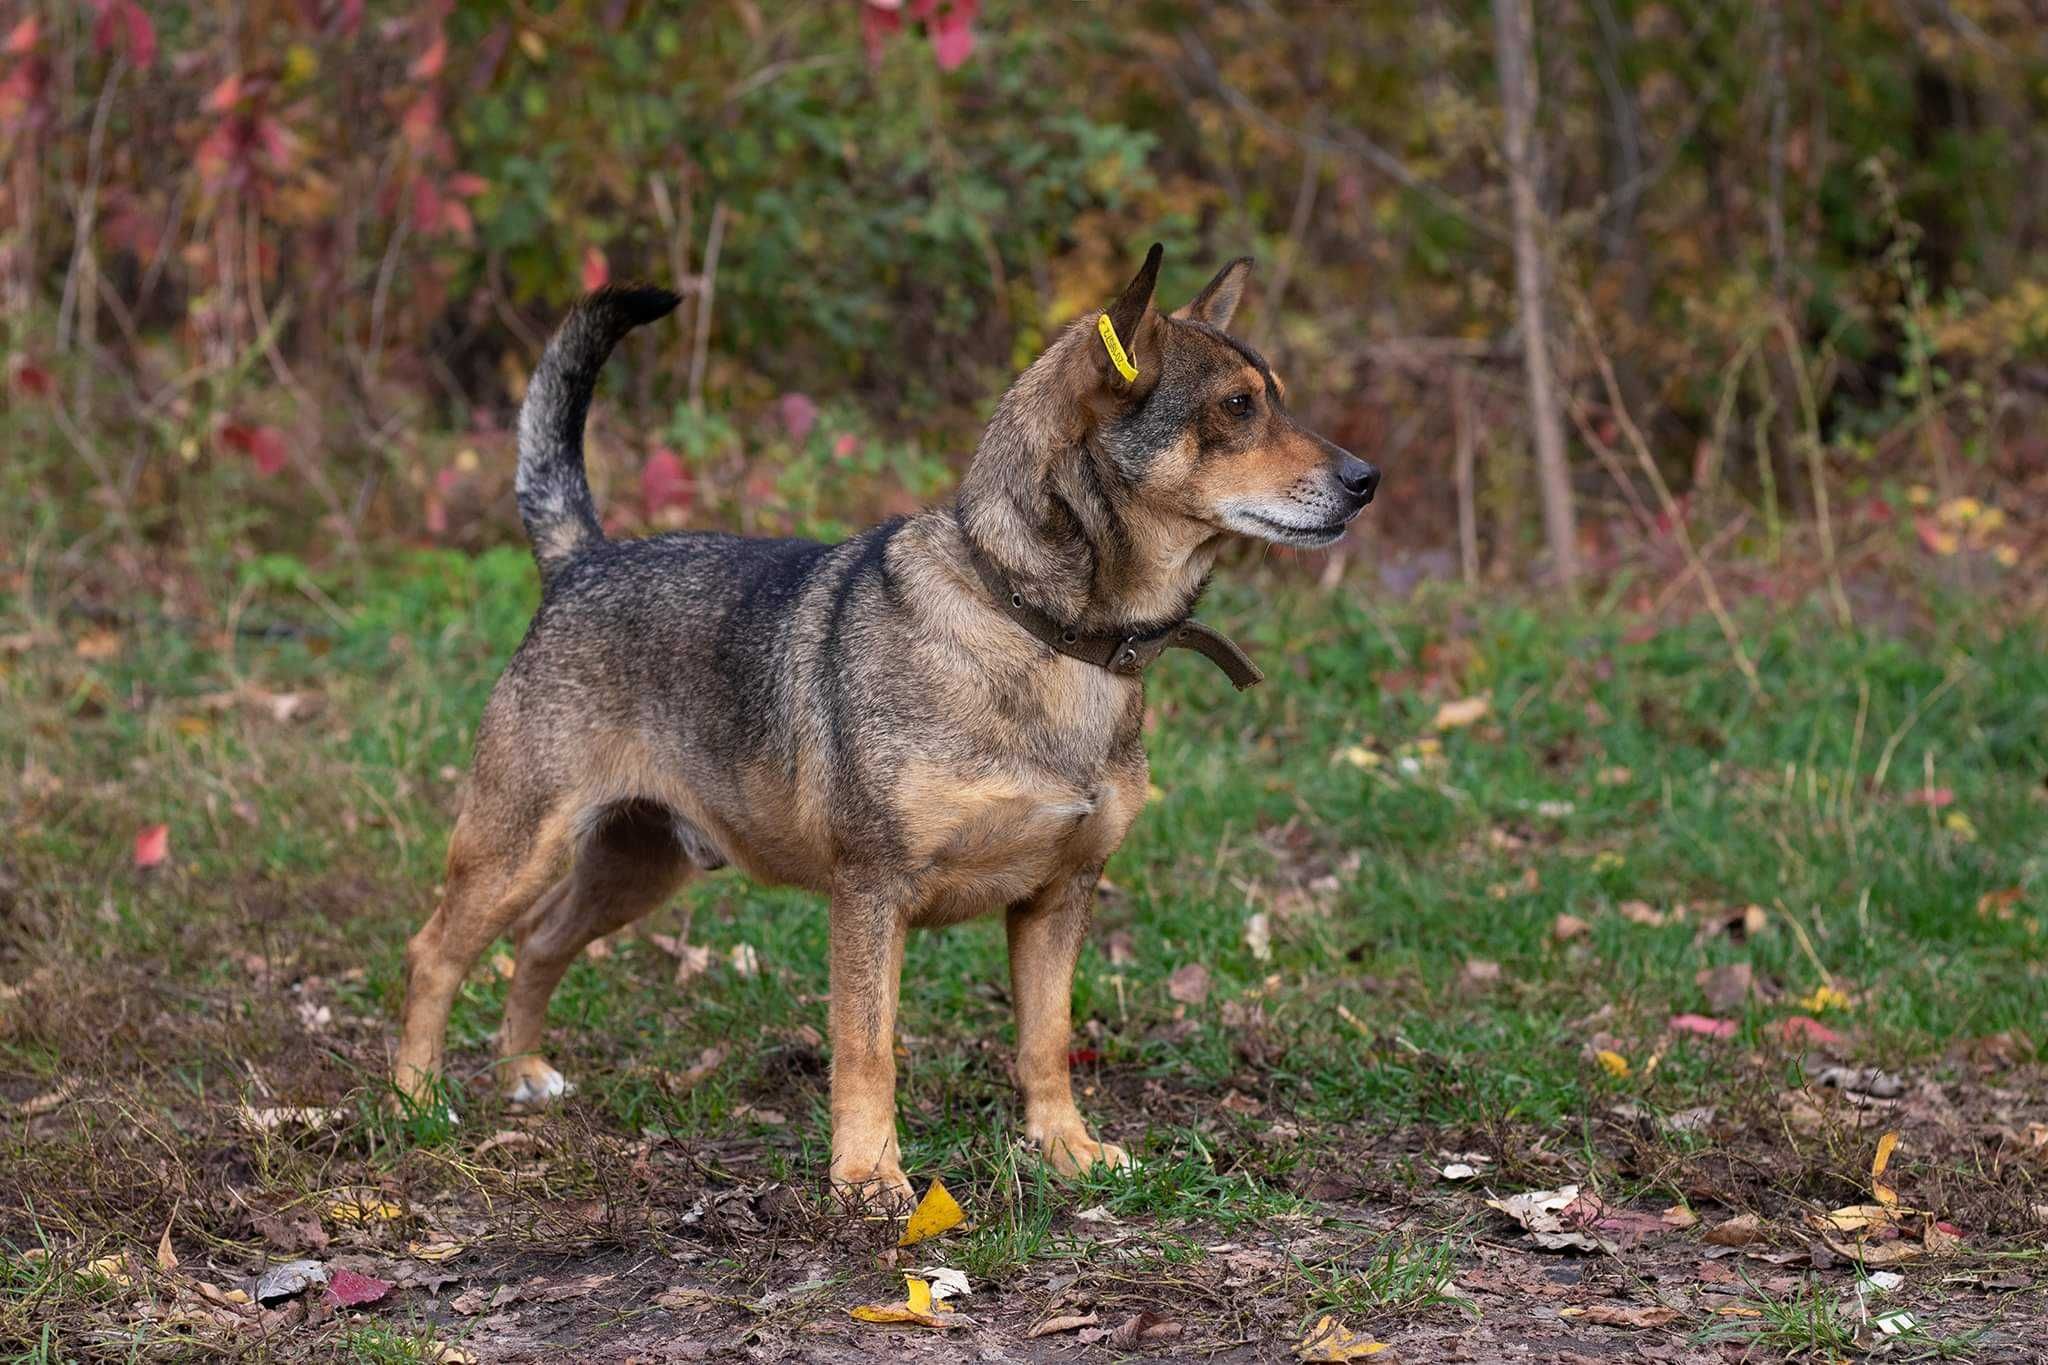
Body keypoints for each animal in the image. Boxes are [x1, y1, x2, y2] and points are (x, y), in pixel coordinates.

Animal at [391, 245, 1384, 1203]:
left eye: (1273, 396)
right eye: (1237, 407)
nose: (1367, 479)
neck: (1039, 628)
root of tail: (582, 559)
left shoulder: (1059, 896)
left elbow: (1046, 1039)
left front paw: (1065, 1147)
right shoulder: (872, 893)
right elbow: (868, 1049)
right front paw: (868, 1174)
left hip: (635, 866)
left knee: (539, 943)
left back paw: (522, 1072)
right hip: (518, 846)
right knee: (435, 951)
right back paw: (415, 1099)